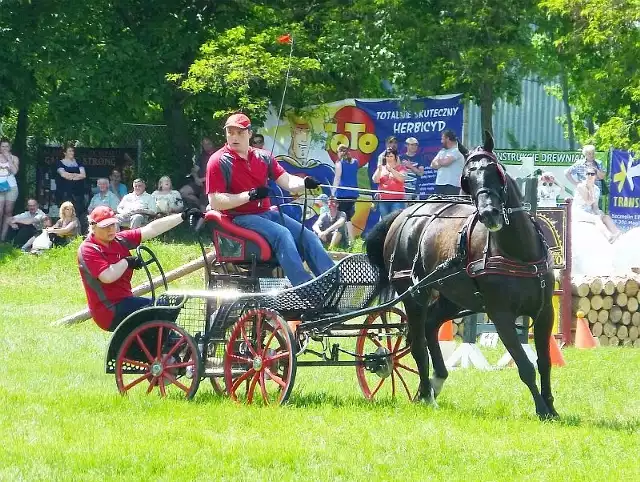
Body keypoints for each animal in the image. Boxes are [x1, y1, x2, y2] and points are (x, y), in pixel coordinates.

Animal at [368, 131, 556, 418]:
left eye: (495, 171)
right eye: (467, 179)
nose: (489, 214)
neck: (518, 253)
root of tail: (405, 213)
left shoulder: (545, 312)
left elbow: (545, 362)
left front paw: (551, 407)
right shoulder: (500, 315)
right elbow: (525, 366)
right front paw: (541, 408)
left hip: (452, 299)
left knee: (429, 327)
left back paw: (436, 381)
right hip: (414, 295)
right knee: (418, 342)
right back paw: (426, 393)